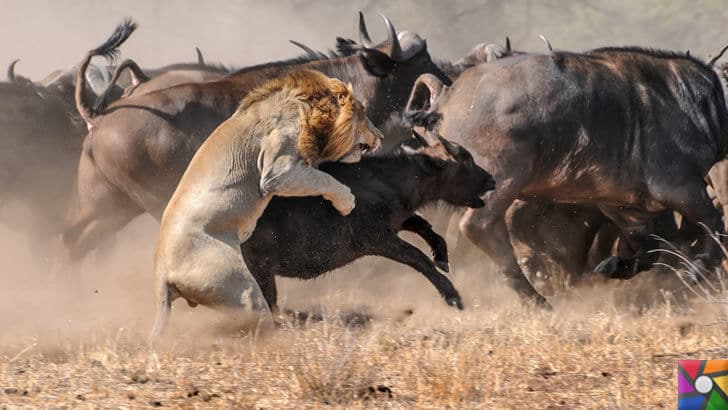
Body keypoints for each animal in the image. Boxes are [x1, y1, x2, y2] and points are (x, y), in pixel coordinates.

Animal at [151, 69, 384, 340]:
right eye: (363, 113)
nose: (381, 136)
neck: (307, 108)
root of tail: (162, 272)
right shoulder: (278, 172)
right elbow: (324, 179)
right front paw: (347, 201)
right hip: (241, 289)